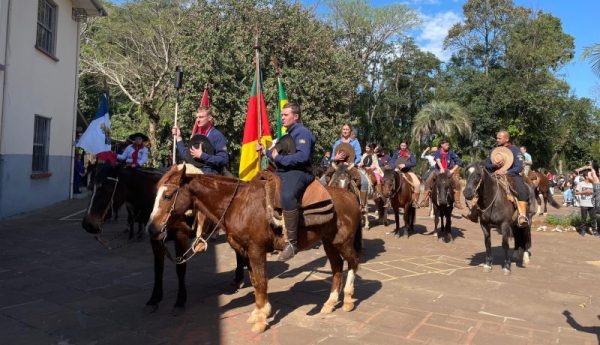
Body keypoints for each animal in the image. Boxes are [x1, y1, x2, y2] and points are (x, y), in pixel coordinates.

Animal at [148, 167, 364, 334]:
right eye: (156, 194)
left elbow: (261, 283)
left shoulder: (256, 251)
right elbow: (253, 281)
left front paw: (261, 320)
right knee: (337, 267)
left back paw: (348, 300)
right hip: (329, 243)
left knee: (353, 262)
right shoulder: (245, 253)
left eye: (167, 195)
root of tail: (351, 197)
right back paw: (330, 303)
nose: (152, 229)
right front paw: (258, 313)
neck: (238, 204)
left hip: (343, 242)